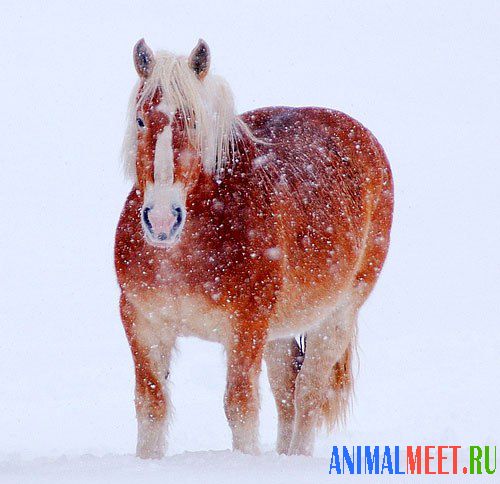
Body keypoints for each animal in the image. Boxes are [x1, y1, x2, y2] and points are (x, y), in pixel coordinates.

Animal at [115, 37, 392, 458]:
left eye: (193, 122)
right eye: (141, 120)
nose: (161, 220)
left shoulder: (246, 327)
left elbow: (240, 406)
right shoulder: (142, 322)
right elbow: (151, 406)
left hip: (336, 315)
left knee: (308, 392)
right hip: (280, 330)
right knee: (286, 391)